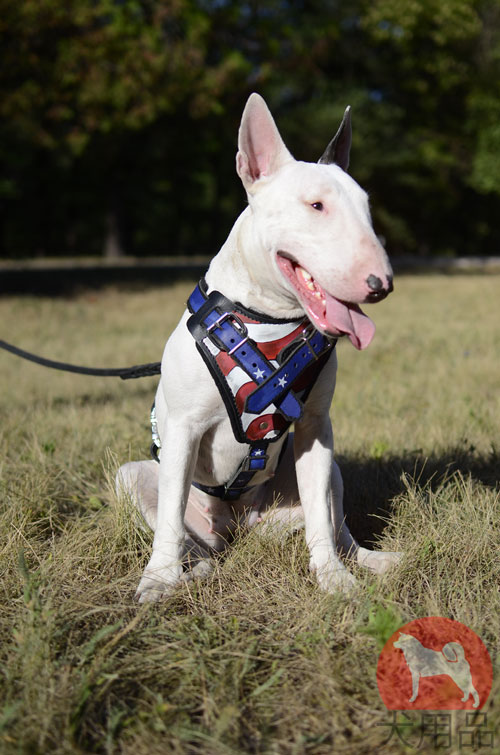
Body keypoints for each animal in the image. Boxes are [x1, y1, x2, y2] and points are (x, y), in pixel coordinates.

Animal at [116, 94, 398, 604]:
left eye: (366, 208)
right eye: (316, 205)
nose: (381, 284)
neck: (266, 319)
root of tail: (238, 525)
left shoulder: (315, 427)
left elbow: (323, 518)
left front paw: (333, 580)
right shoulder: (183, 429)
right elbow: (169, 520)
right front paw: (157, 580)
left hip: (327, 472)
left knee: (336, 524)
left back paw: (370, 560)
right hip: (135, 476)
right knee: (185, 531)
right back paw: (192, 570)